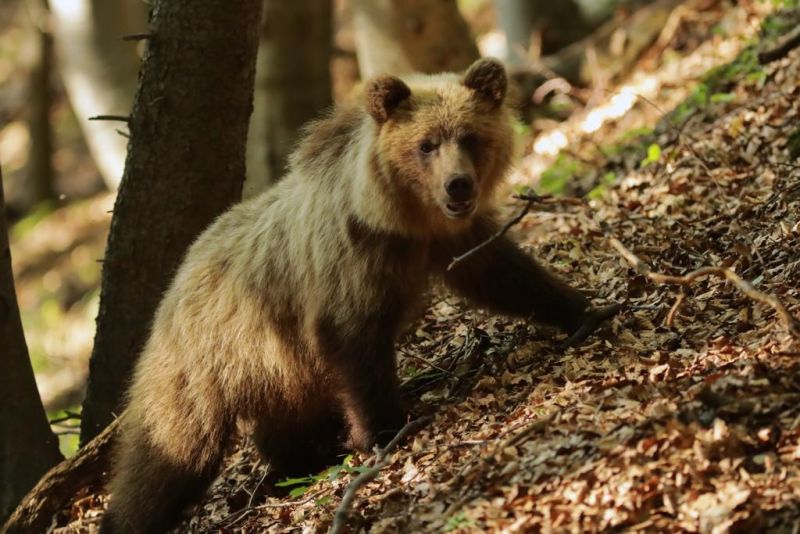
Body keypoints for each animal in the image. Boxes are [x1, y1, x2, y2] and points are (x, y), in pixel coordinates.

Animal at [100, 58, 620, 534]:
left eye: (470, 136)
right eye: (426, 144)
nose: (459, 184)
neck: (400, 220)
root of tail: (176, 280)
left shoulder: (451, 239)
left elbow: (504, 274)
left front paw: (586, 310)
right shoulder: (348, 267)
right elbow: (355, 345)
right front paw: (384, 431)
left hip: (274, 367)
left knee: (283, 423)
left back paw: (301, 460)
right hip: (205, 361)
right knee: (171, 449)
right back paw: (128, 515)